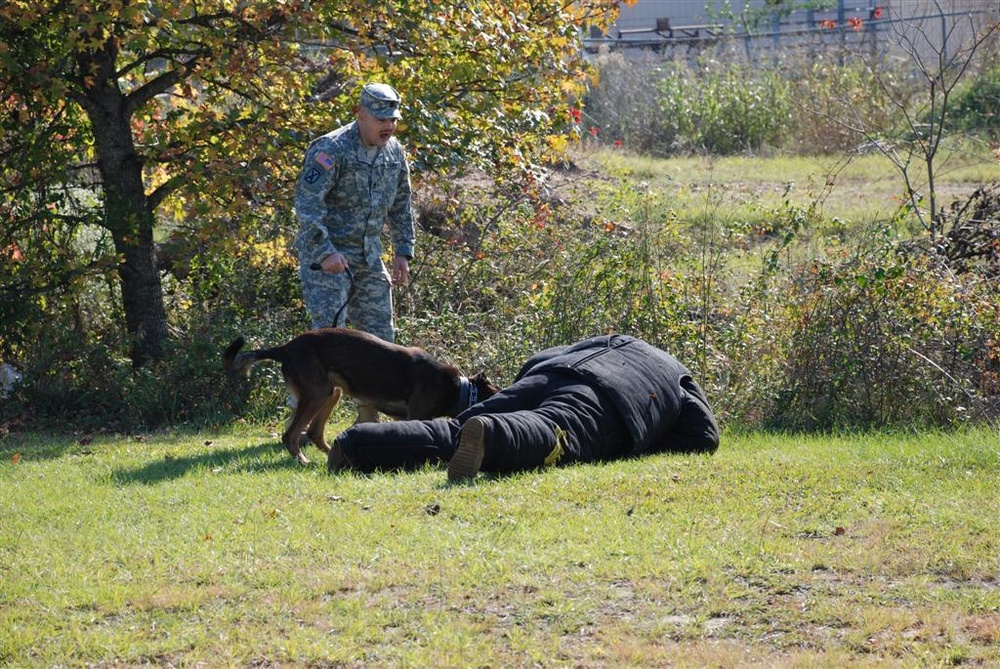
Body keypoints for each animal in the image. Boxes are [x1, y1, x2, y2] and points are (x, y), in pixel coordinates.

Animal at [223, 326, 496, 462]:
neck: (457, 388)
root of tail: (285, 348)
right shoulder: (414, 416)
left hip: (331, 392)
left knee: (313, 432)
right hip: (317, 393)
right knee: (290, 435)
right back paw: (303, 461)